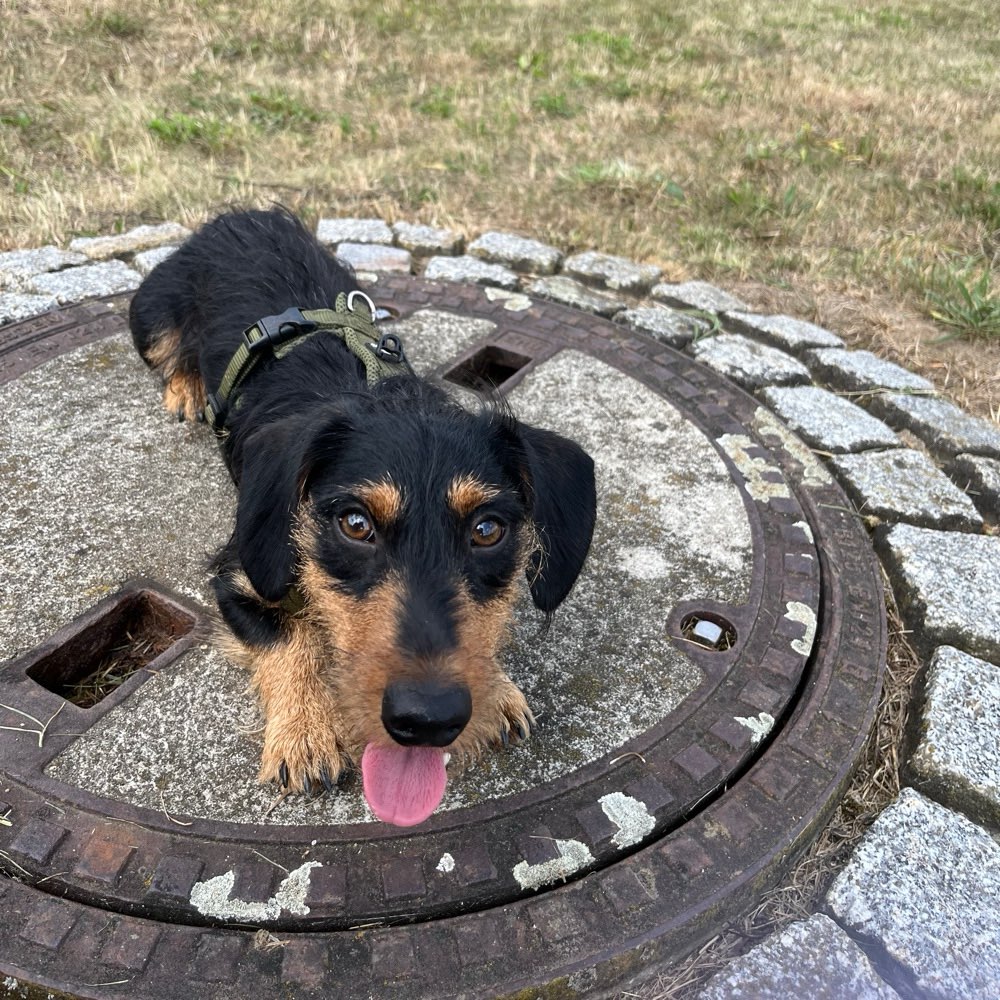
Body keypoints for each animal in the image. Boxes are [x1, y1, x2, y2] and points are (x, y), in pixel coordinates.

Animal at [125, 209, 592, 828]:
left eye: (487, 530)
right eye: (354, 524)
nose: (427, 719)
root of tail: (236, 215)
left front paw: (499, 691)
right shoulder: (238, 575)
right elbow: (289, 640)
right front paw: (305, 732)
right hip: (151, 315)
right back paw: (186, 388)